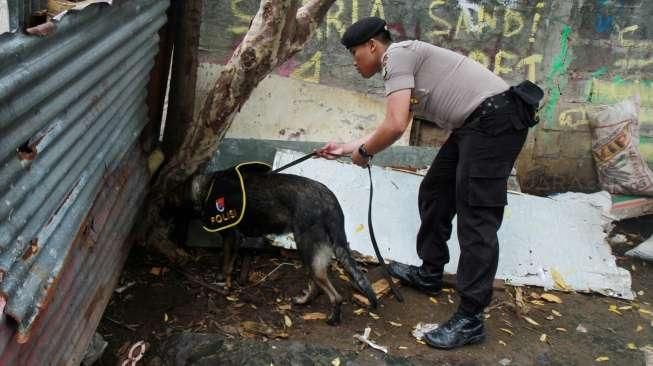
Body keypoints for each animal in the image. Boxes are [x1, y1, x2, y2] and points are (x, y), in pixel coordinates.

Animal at [168, 167, 376, 324]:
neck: (204, 189)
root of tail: (329, 198)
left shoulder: (231, 237)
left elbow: (225, 264)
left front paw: (222, 283)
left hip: (307, 248)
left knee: (332, 292)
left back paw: (333, 318)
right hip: (312, 252)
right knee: (316, 283)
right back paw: (304, 301)